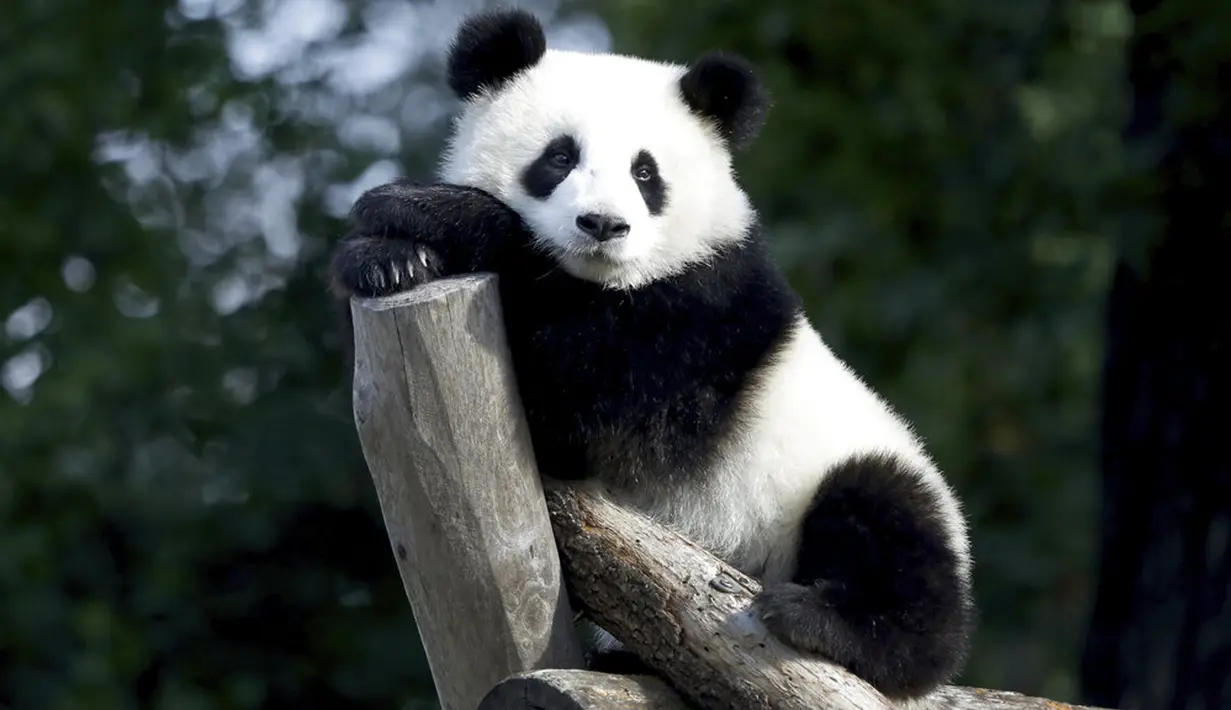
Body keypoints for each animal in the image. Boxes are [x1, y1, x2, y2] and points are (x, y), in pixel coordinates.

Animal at [329, 7, 975, 701]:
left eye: (646, 173)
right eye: (559, 157)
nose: (603, 225)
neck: (611, 280)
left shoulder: (705, 315)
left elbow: (588, 407)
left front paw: (429, 211)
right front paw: (387, 259)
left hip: (846, 478)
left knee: (887, 524)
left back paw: (827, 621)